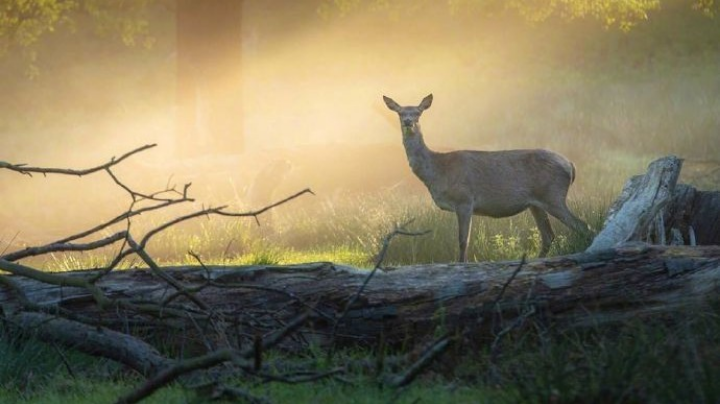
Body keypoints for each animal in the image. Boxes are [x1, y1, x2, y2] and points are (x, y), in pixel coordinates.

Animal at [382, 93, 592, 262]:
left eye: (418, 113)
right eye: (400, 113)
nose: (408, 122)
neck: (438, 171)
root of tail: (570, 165)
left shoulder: (465, 199)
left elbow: (463, 241)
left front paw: (461, 265)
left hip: (553, 195)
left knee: (583, 226)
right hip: (537, 203)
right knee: (549, 235)